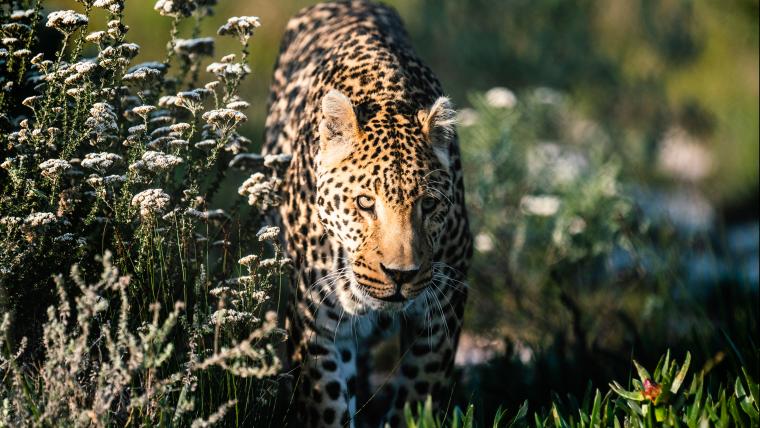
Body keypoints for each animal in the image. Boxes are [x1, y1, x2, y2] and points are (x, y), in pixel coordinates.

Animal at [264, 1, 472, 426]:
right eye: (364, 203)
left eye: (428, 204)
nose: (400, 275)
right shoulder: (315, 319)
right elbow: (327, 402)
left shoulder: (445, 303)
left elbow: (419, 392)